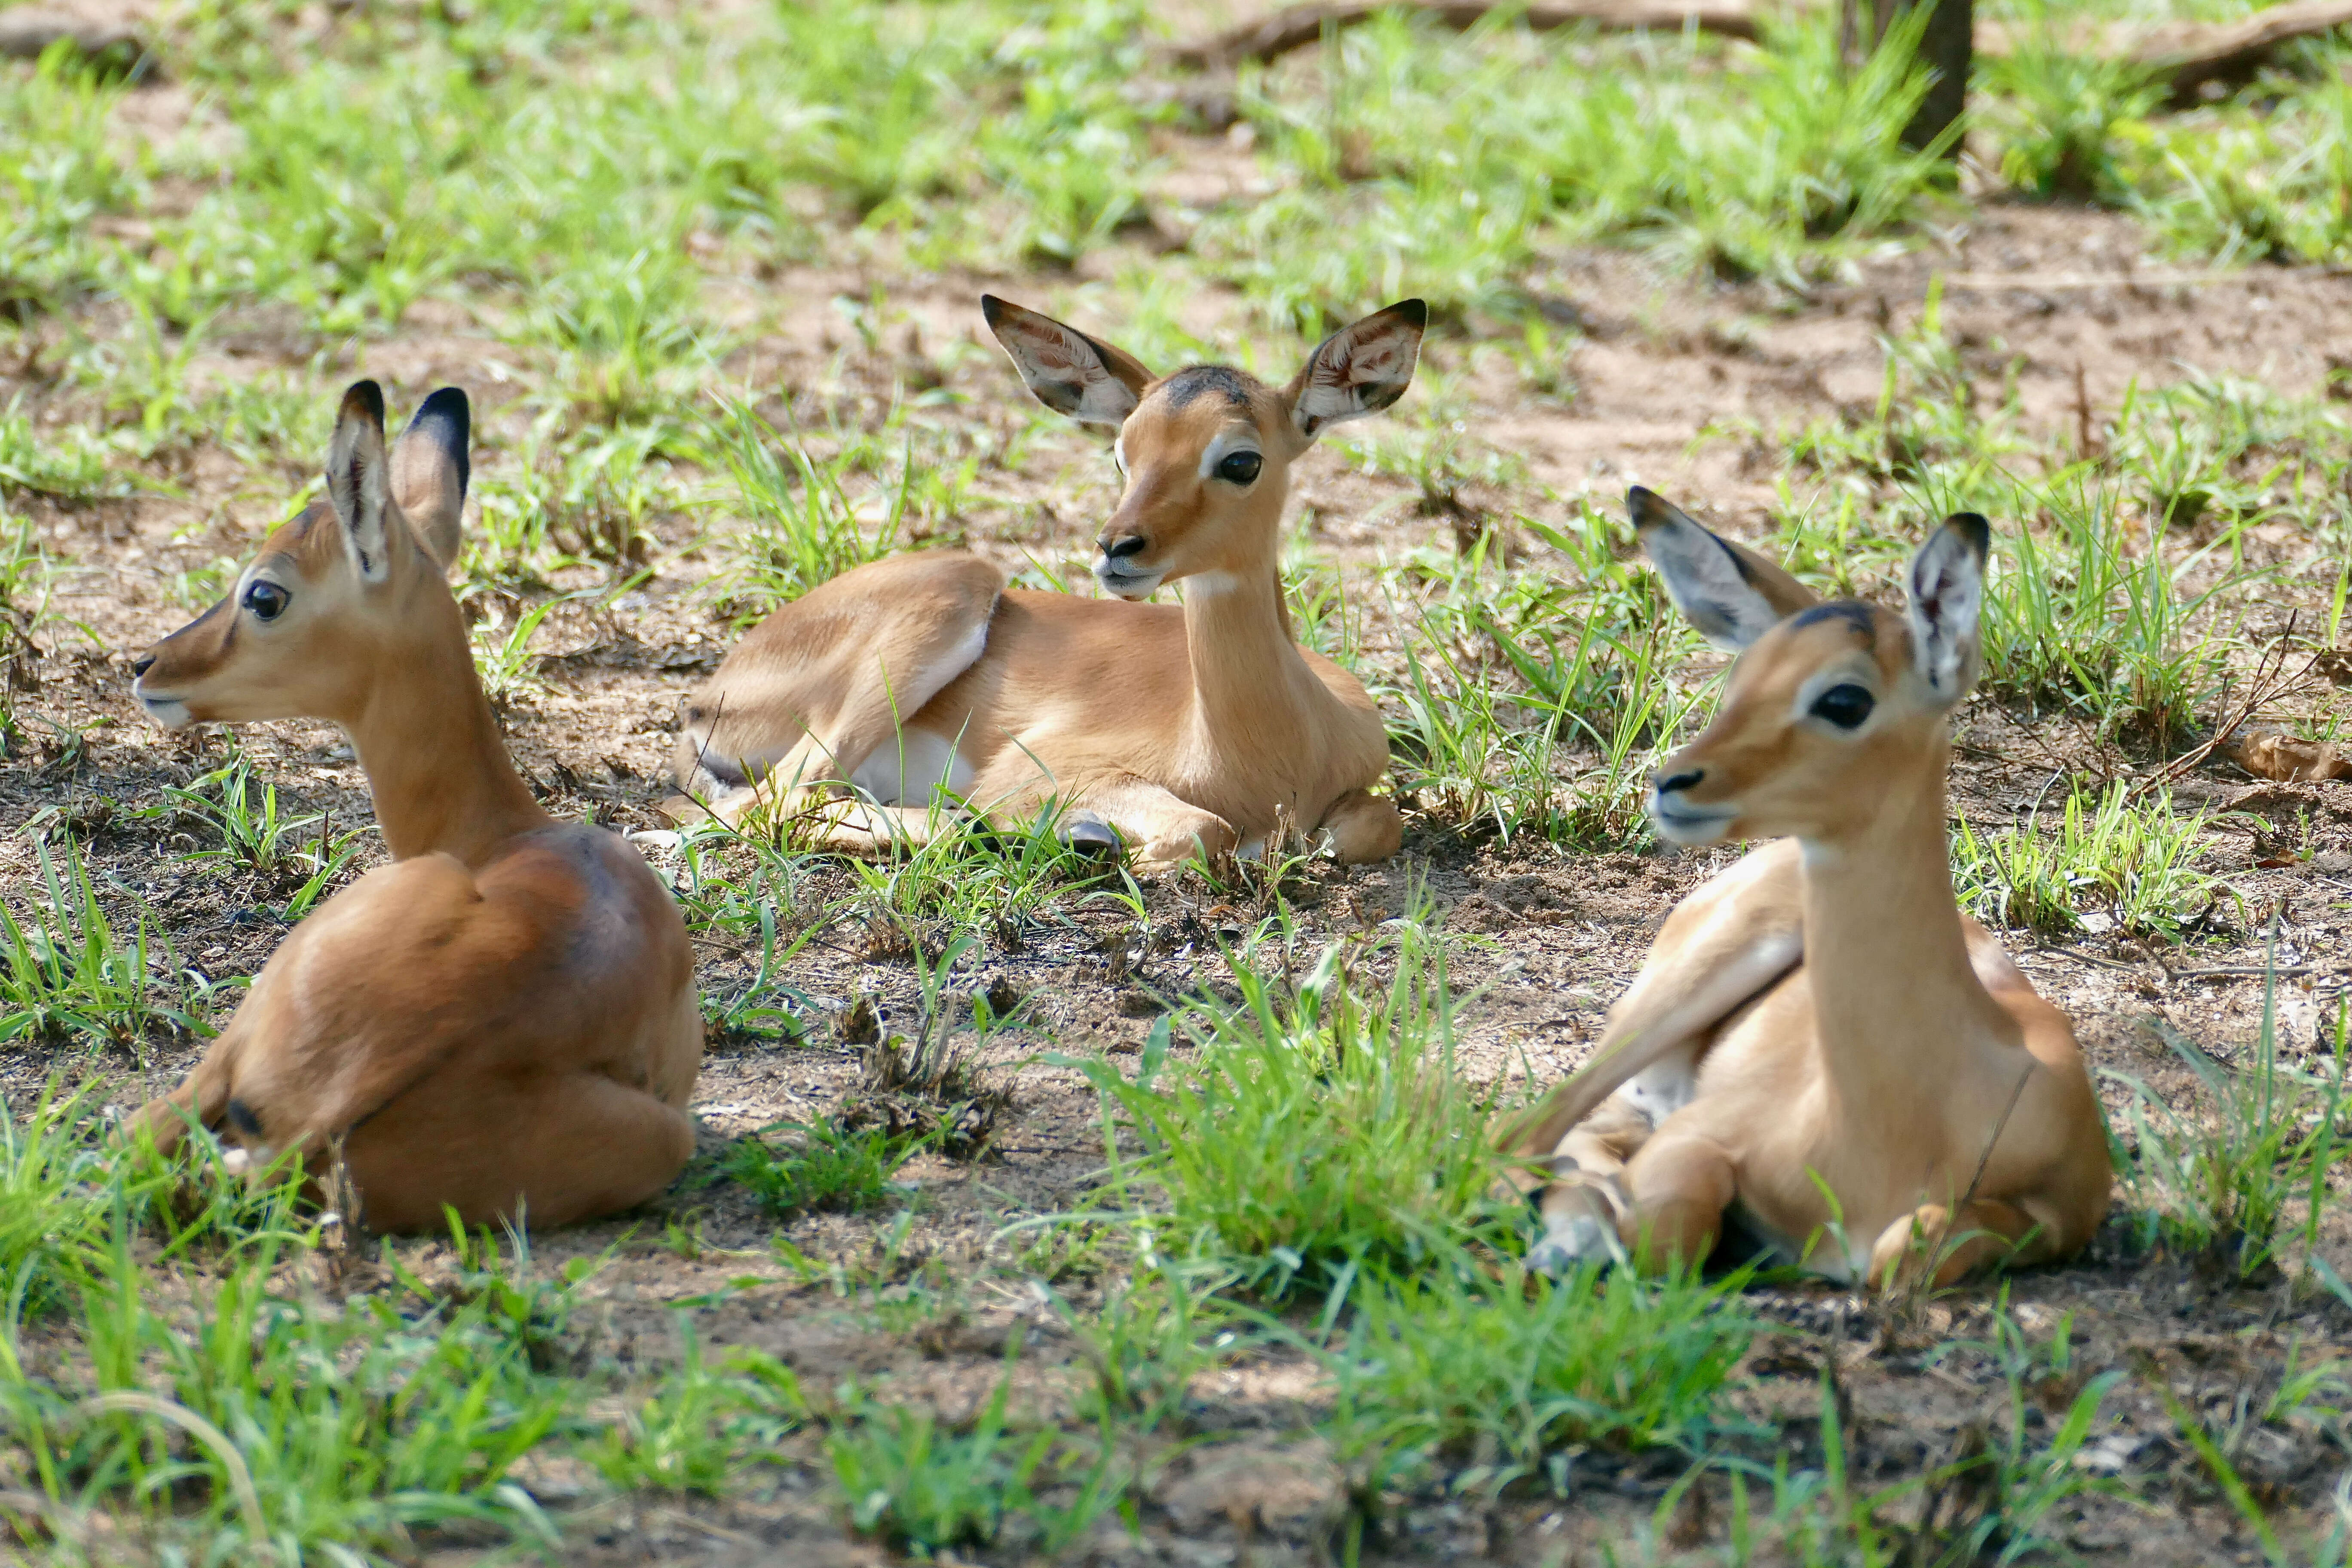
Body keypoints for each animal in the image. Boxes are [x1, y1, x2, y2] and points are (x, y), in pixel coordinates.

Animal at [672, 297, 1421, 870]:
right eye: (1122, 453)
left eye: (1242, 460)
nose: (1116, 549)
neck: (1273, 753)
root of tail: (709, 699)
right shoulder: (1041, 771)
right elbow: (1203, 829)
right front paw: (1095, 839)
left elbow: (1376, 824)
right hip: (938, 613)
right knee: (772, 805)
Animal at [1505, 496, 2116, 1298]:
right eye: (1743, 678)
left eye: (1845, 697)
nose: (1670, 782)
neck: (1885, 1131)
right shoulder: (1702, 1132)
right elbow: (1669, 1234)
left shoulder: (2065, 1209)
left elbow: (1909, 1248)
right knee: (1522, 1136)